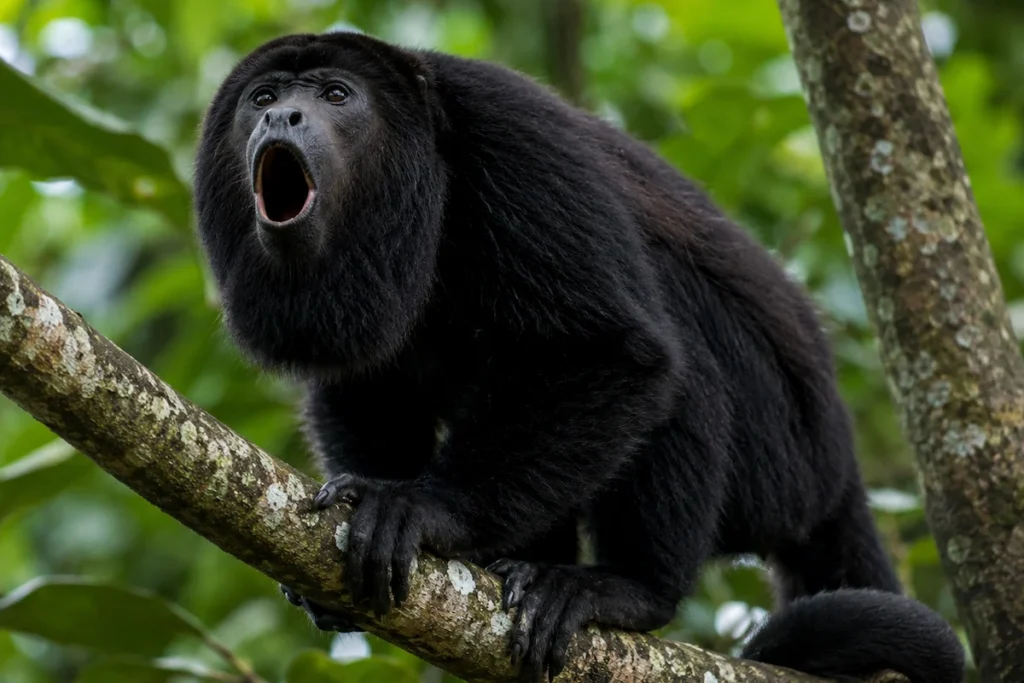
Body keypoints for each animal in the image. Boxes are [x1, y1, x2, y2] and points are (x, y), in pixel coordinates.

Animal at [193, 30, 965, 683]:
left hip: (779, 461)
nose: (281, 118)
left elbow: (618, 352)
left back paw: (625, 589)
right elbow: (363, 384)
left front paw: (423, 510)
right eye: (263, 98)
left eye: (336, 94)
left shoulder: (510, 133)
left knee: (680, 354)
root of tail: (836, 464)